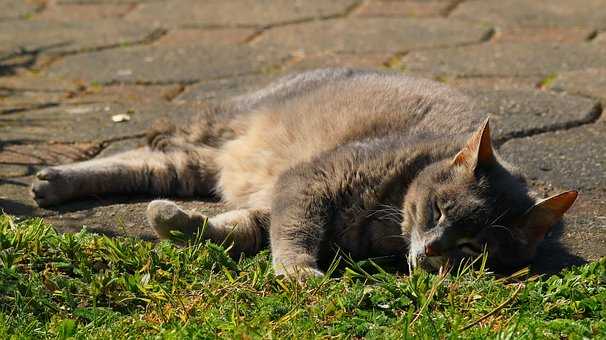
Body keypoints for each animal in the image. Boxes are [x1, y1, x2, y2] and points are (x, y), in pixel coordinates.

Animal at [29, 67, 580, 278]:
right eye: (439, 208)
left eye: (472, 248)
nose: (430, 251)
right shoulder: (309, 182)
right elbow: (294, 230)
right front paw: (297, 270)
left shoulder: (272, 203)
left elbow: (233, 228)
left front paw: (176, 223)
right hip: (218, 127)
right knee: (141, 148)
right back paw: (50, 178)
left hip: (188, 167)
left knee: (145, 164)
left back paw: (55, 183)